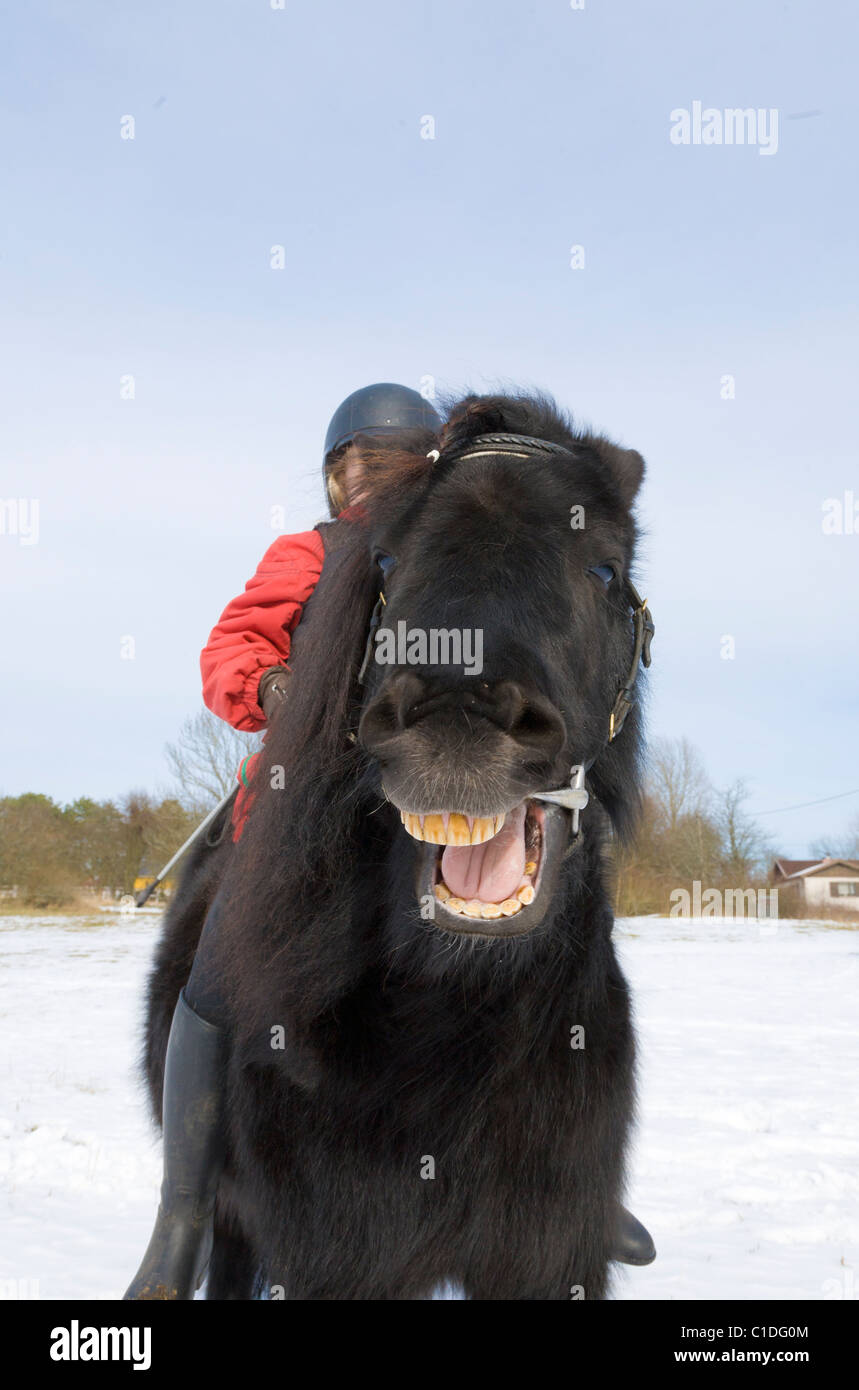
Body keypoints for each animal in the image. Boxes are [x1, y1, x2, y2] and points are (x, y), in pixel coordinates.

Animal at [142, 391, 647, 1301]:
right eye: (384, 562)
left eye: (604, 570)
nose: (458, 713)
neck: (452, 1014)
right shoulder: (328, 1258)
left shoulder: (549, 1255)